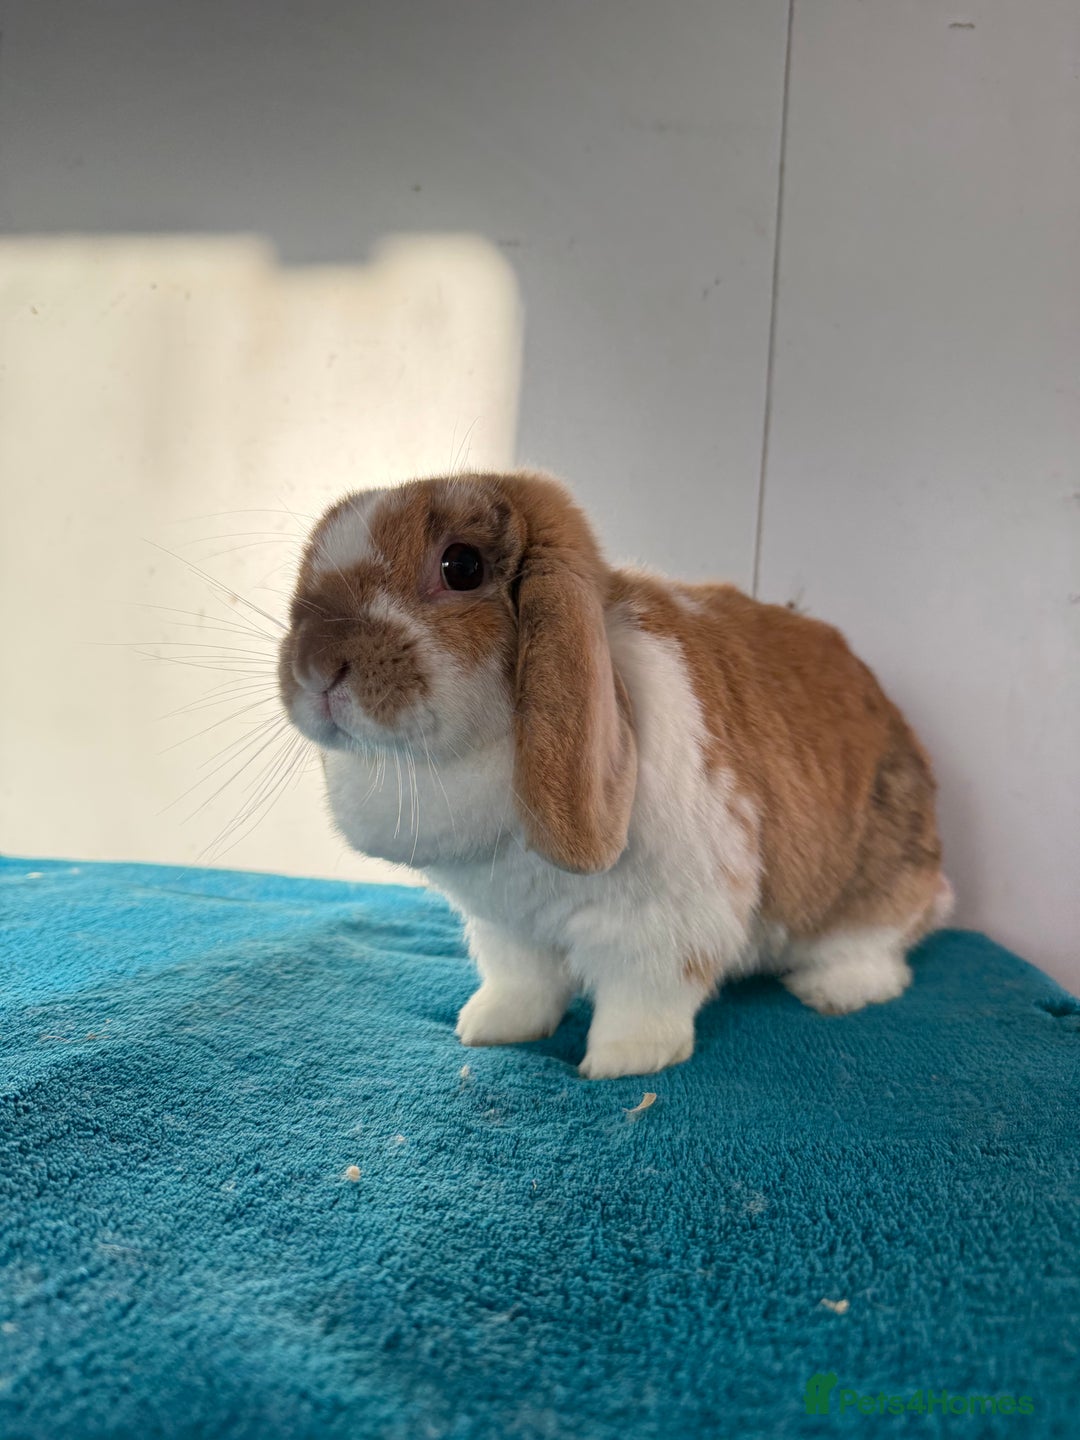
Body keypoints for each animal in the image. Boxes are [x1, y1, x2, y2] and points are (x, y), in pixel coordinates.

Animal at [278, 470, 953, 1079]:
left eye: (461, 566)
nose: (316, 666)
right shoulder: (507, 927)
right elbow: (520, 984)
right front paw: (489, 1029)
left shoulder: (665, 926)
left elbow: (644, 997)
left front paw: (620, 1063)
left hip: (877, 883)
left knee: (883, 949)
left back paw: (834, 991)